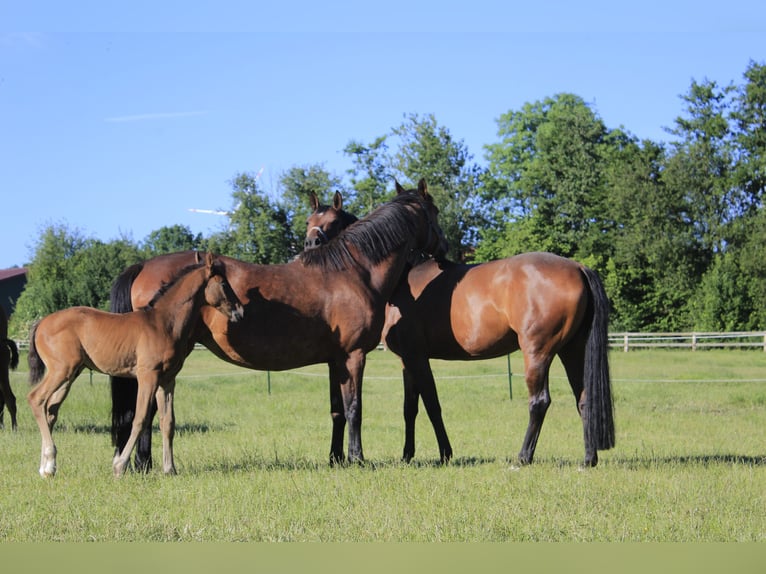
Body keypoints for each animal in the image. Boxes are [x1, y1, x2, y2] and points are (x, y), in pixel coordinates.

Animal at [27, 254, 243, 480]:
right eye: (223, 283)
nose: (240, 312)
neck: (163, 323)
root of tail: (40, 323)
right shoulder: (148, 376)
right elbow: (140, 419)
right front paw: (120, 466)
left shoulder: (167, 381)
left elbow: (168, 422)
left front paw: (170, 469)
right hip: (61, 371)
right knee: (36, 399)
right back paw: (48, 460)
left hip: (71, 374)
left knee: (50, 410)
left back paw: (47, 467)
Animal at [105, 184, 448, 472]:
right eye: (435, 212)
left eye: (331, 222)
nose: (444, 247)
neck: (352, 272)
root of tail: (144, 266)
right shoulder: (354, 355)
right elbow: (354, 408)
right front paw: (357, 458)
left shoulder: (334, 360)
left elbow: (337, 409)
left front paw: (336, 459)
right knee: (147, 409)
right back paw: (143, 464)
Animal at [304, 198, 616, 468]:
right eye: (309, 220)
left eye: (332, 221)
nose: (310, 244)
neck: (402, 280)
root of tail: (578, 267)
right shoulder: (407, 360)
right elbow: (410, 408)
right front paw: (407, 455)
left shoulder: (417, 358)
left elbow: (432, 404)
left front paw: (445, 453)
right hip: (572, 350)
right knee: (584, 399)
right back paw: (588, 459)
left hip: (538, 353)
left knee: (539, 402)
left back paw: (522, 457)